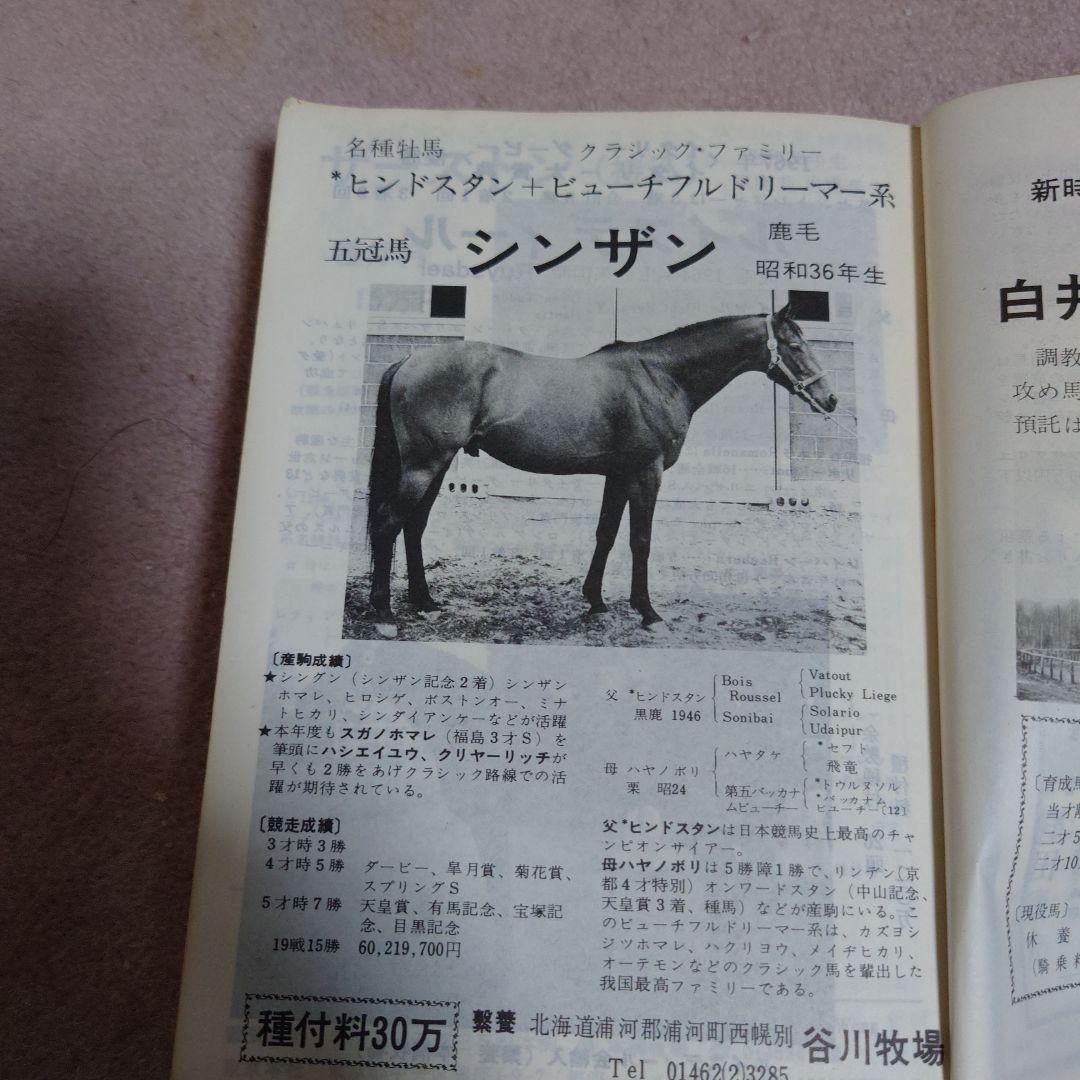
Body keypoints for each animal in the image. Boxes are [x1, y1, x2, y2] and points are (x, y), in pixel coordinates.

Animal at [364, 303, 838, 639]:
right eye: (796, 345)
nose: (830, 400)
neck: (660, 376)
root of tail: (407, 362)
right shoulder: (646, 473)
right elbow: (640, 540)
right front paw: (647, 612)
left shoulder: (618, 475)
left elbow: (606, 534)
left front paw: (594, 601)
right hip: (424, 465)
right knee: (389, 523)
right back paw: (385, 613)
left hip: (437, 465)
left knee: (414, 526)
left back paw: (425, 602)